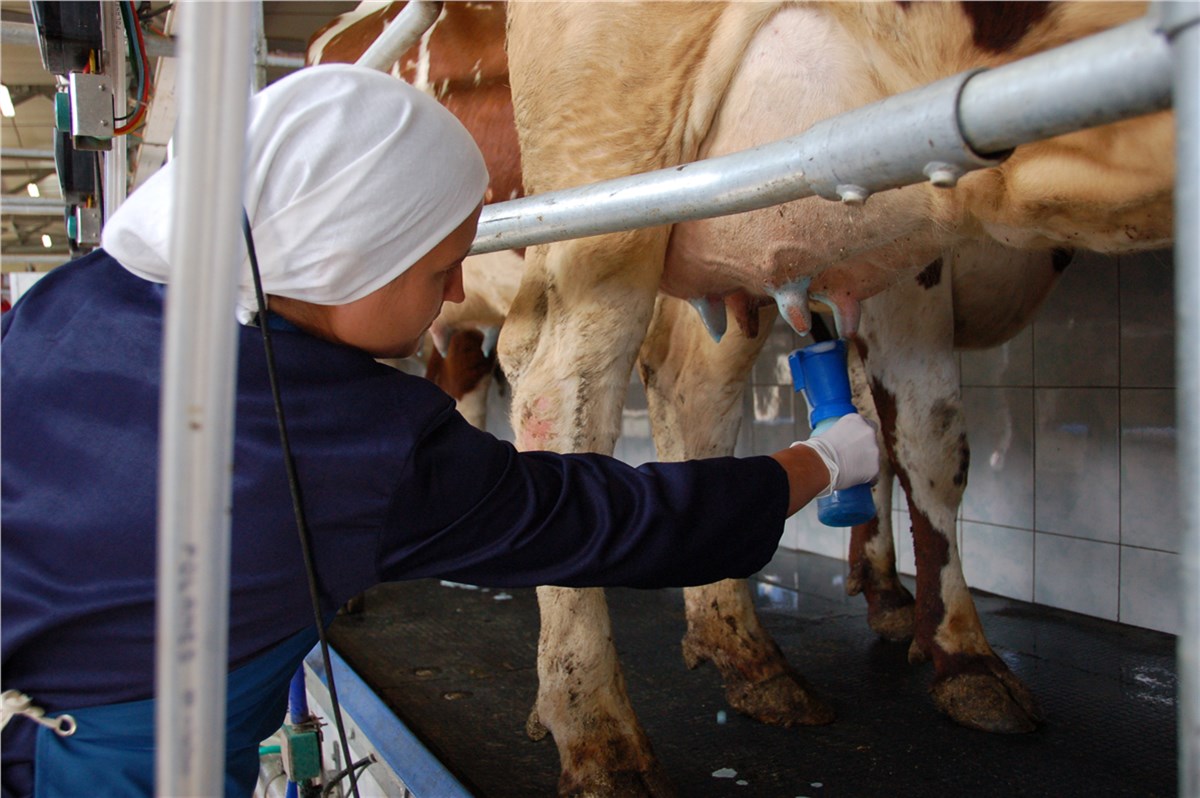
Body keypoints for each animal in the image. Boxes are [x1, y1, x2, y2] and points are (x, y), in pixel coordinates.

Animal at [501, 3, 1166, 792]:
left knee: (689, 382)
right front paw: (963, 655)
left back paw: (744, 655)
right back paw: (600, 737)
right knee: (559, 391)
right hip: (606, 181)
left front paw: (902, 605)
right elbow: (932, 442)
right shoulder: (924, 245)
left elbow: (884, 432)